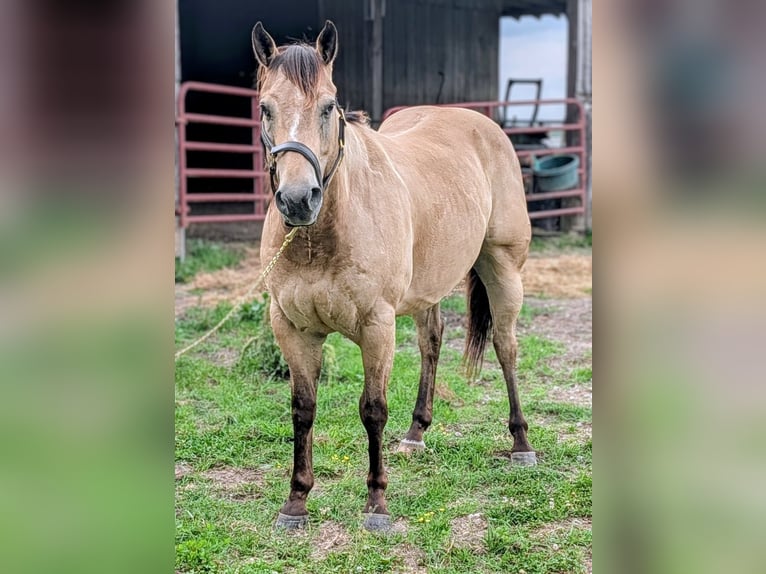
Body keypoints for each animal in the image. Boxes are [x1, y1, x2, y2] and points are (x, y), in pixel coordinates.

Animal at [253, 20, 535, 532]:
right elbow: (303, 410)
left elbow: (372, 410)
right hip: (429, 285)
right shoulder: (292, 328)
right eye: (266, 108)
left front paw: (376, 504)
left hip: (502, 268)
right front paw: (296, 501)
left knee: (506, 347)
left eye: (328, 106)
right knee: (432, 341)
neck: (321, 236)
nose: (299, 199)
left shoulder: (377, 326)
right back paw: (417, 432)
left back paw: (522, 443)